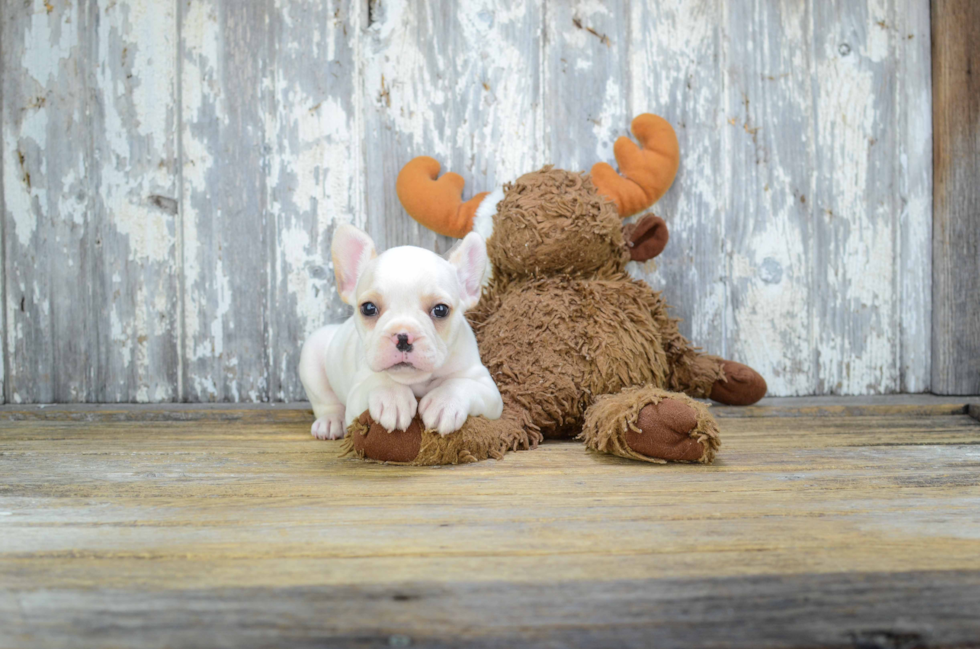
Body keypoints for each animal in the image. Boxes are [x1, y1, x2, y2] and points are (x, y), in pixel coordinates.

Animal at [300, 223, 506, 440]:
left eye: (441, 310)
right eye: (368, 308)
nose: (403, 337)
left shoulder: (485, 386)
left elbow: (460, 384)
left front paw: (444, 403)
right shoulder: (356, 394)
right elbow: (379, 381)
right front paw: (392, 398)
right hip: (312, 355)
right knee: (326, 403)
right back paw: (330, 421)